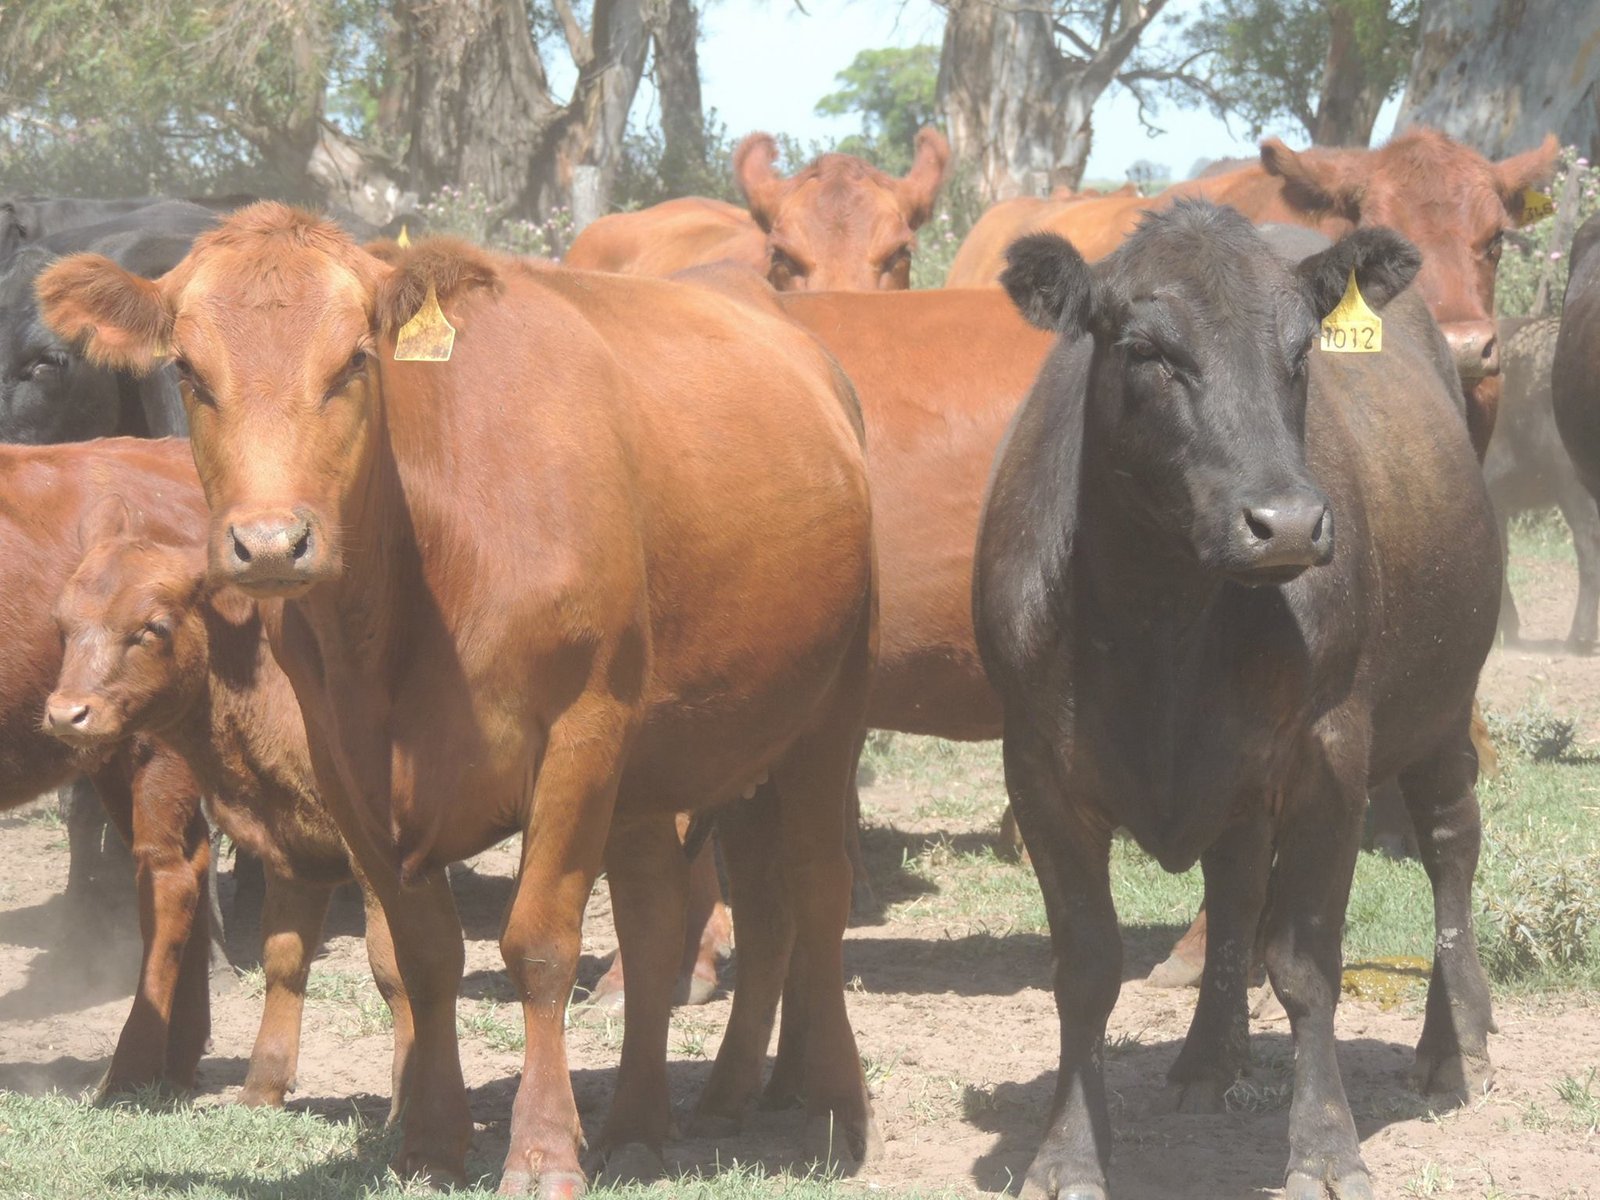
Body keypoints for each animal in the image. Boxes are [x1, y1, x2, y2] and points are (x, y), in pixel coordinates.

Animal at [43, 510, 414, 1113]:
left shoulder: (379, 861)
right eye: (62, 623)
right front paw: (263, 1088)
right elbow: (284, 959)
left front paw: (410, 1106)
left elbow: (395, 969)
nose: (65, 713)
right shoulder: (292, 848)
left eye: (153, 627)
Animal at [974, 205, 1499, 1200]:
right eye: (1147, 351)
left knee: (1451, 847)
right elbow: (1087, 967)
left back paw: (1456, 1044)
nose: (1286, 523)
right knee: (1236, 879)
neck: (1160, 627)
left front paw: (1327, 1147)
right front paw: (1066, 1152)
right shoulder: (1037, 770)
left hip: (1443, 705)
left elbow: (1305, 963)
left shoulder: (1332, 757)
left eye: (1300, 352)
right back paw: (1207, 1059)